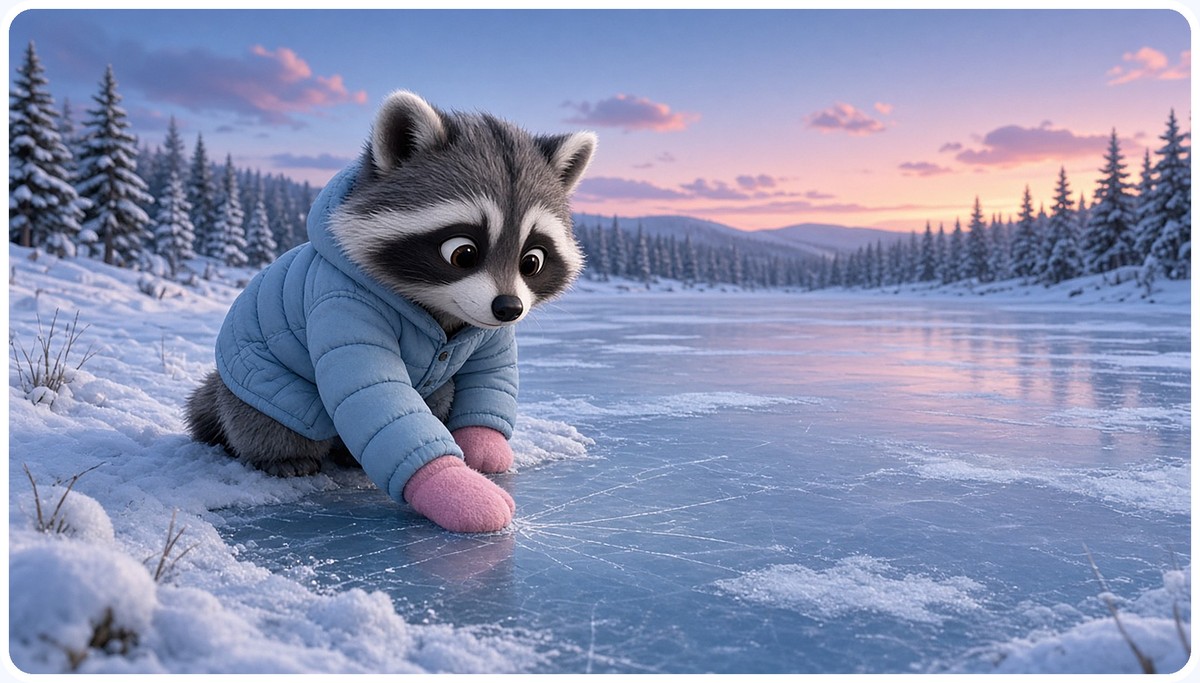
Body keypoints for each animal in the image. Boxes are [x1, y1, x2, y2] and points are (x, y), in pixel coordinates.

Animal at [185, 91, 596, 533]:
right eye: (463, 253)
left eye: (532, 261)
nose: (509, 308)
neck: (439, 309)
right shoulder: (342, 304)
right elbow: (374, 392)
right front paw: (453, 487)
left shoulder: (488, 332)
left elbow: (491, 375)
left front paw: (484, 444)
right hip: (258, 390)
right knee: (268, 420)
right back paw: (282, 455)